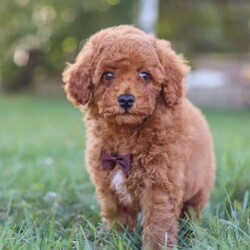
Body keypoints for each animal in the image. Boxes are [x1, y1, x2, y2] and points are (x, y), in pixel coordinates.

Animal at [63, 24, 215, 248]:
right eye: (108, 75)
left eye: (145, 75)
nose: (126, 99)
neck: (126, 134)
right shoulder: (109, 188)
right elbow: (118, 219)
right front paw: (116, 241)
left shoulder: (160, 186)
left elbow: (158, 224)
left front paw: (156, 247)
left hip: (198, 188)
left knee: (192, 213)